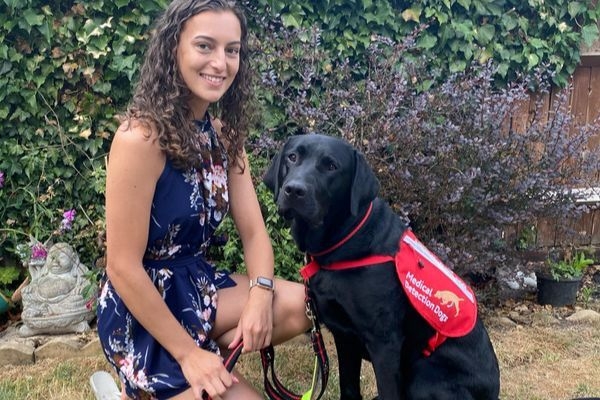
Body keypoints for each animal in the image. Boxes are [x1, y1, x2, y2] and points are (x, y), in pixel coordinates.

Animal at [264, 135, 504, 400]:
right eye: (292, 157)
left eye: (331, 166)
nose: (294, 189)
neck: (344, 241)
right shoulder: (344, 336)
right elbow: (349, 388)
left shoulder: (384, 343)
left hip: (423, 376)